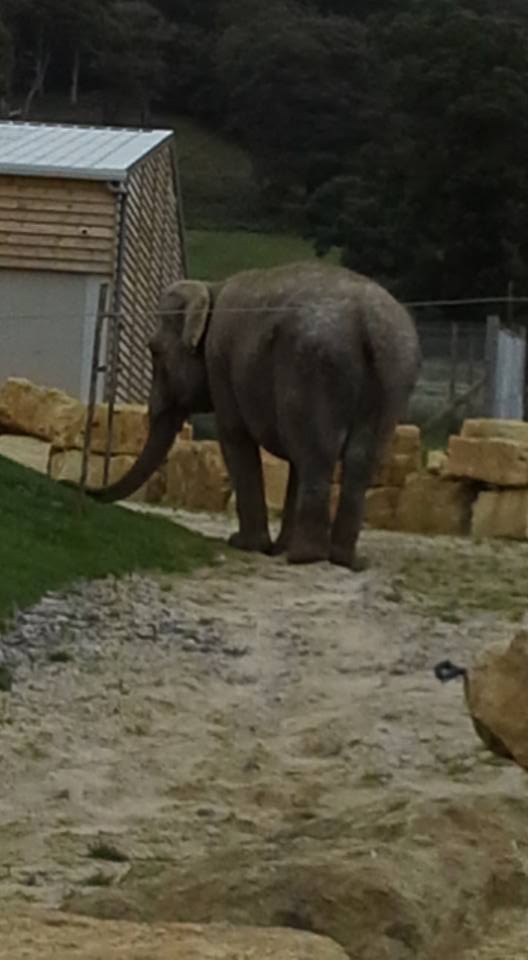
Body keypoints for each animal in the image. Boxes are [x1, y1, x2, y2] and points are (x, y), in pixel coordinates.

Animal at [91, 261, 421, 569]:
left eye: (154, 351)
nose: (87, 491)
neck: (211, 288)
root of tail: (369, 322)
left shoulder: (220, 358)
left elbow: (234, 435)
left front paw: (244, 544)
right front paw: (274, 547)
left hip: (313, 365)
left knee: (316, 452)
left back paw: (305, 557)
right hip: (393, 375)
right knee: (360, 457)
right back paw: (343, 560)